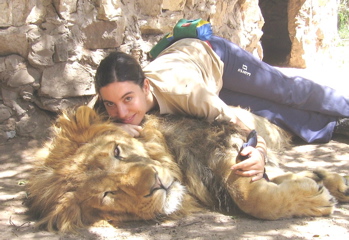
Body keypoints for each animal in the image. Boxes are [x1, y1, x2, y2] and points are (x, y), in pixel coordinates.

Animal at [25, 106, 348, 232]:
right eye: (108, 194)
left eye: (117, 151)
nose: (155, 183)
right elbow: (255, 196)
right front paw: (316, 193)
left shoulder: (221, 140)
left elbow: (251, 190)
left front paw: (320, 190)